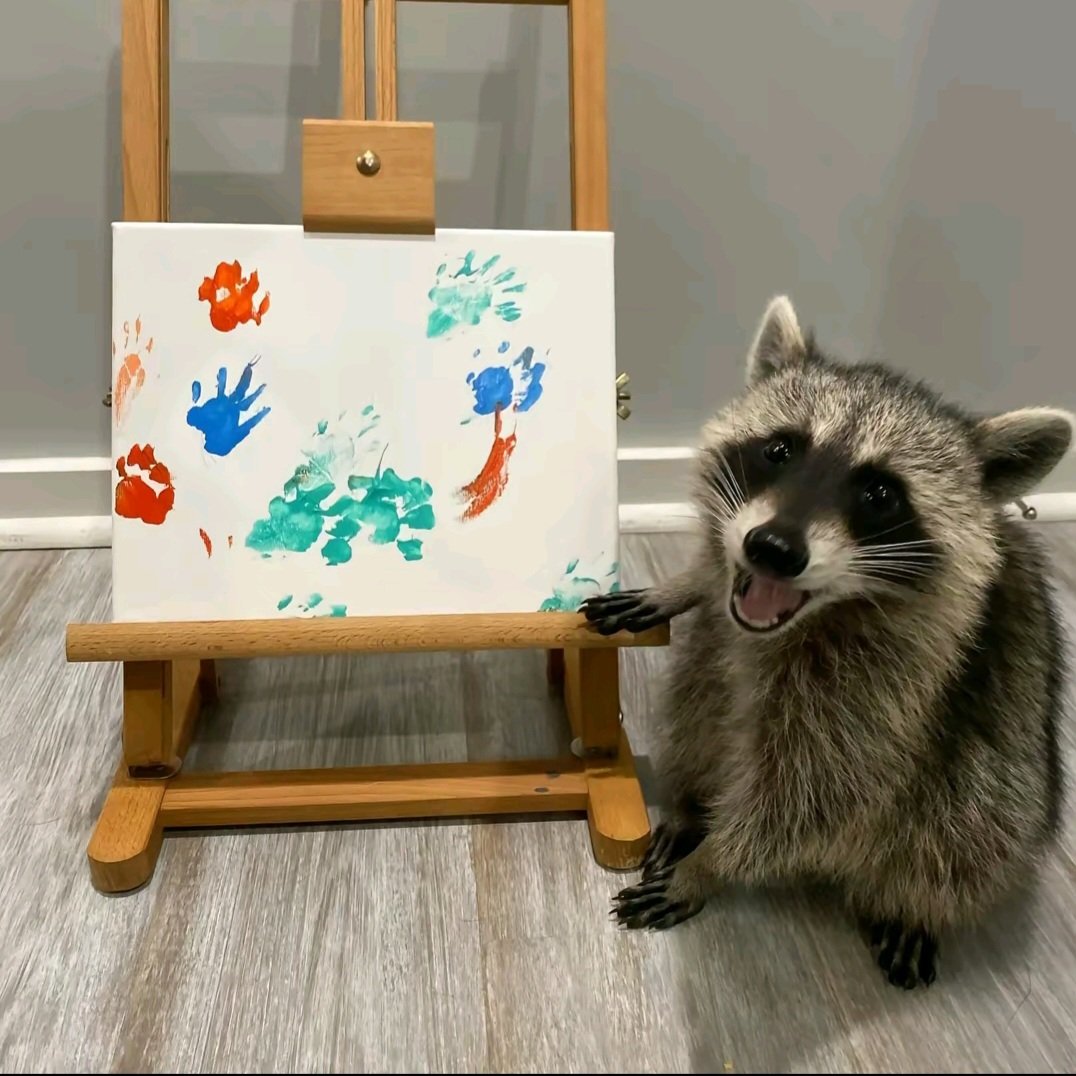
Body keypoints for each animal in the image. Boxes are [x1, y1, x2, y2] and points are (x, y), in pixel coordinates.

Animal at [583, 296, 1072, 989]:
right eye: (779, 449)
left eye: (880, 493)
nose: (771, 549)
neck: (802, 621)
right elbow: (711, 586)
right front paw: (685, 583)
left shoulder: (887, 686)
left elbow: (813, 799)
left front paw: (712, 864)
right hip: (708, 668)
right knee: (697, 701)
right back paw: (692, 801)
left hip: (1004, 767)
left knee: (973, 825)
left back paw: (913, 902)